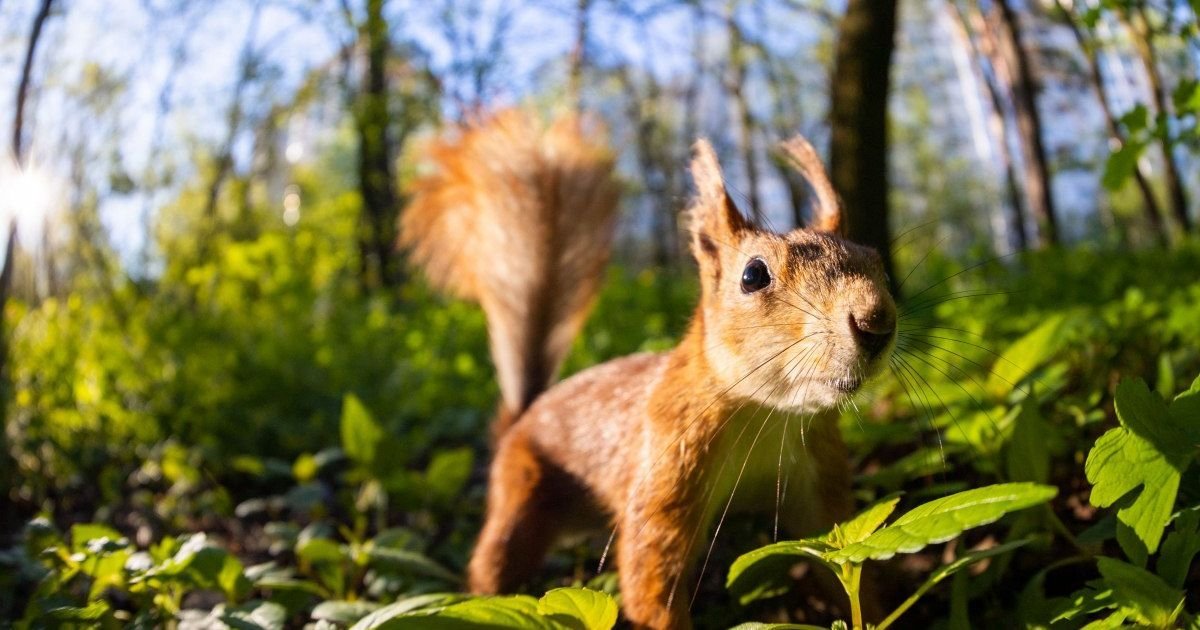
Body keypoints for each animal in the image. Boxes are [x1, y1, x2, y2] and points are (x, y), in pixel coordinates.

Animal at [398, 110, 897, 624]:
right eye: (753, 275)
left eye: (878, 263)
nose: (876, 322)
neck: (767, 414)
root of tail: (524, 415)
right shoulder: (664, 466)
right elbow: (652, 573)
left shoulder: (821, 482)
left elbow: (845, 560)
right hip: (519, 497)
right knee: (495, 560)